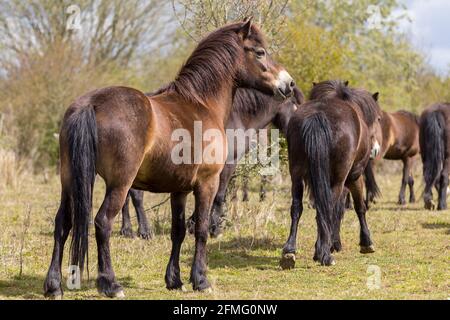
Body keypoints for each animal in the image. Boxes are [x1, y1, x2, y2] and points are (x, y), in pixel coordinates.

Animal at [44, 20, 294, 298]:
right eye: (260, 52)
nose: (288, 84)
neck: (201, 103)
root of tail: (91, 103)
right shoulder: (207, 183)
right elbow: (201, 229)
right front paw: (201, 280)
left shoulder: (179, 190)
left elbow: (178, 231)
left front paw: (174, 279)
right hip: (119, 184)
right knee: (102, 222)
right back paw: (111, 284)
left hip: (69, 181)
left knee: (63, 223)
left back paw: (54, 286)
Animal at [284, 79, 382, 268]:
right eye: (378, 118)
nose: (375, 150)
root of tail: (318, 115)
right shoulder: (353, 177)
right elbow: (356, 207)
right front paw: (364, 242)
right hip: (339, 179)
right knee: (328, 207)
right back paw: (324, 254)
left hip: (296, 175)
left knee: (297, 207)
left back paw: (290, 251)